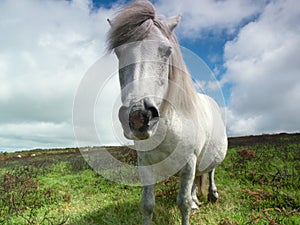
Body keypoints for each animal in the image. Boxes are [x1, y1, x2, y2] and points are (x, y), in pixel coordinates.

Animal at [106, 0, 226, 224]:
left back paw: (212, 194)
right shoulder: (145, 164)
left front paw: (191, 206)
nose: (138, 116)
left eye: (167, 50)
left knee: (211, 170)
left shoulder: (188, 162)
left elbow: (183, 203)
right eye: (119, 53)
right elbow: (147, 204)